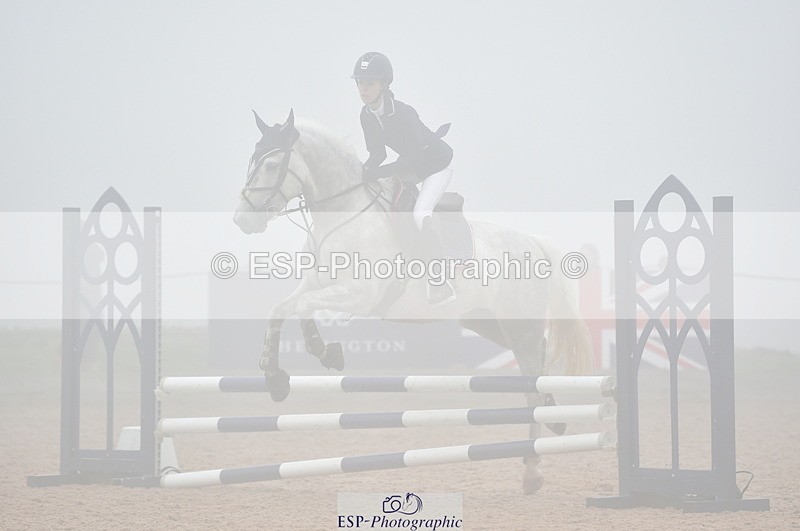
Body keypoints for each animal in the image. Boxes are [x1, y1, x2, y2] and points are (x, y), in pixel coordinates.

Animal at [233, 109, 593, 494]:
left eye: (272, 165)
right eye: (252, 161)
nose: (242, 220)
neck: (342, 211)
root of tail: (534, 241)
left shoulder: (359, 294)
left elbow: (303, 309)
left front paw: (326, 353)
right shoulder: (314, 284)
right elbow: (280, 310)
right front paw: (274, 377)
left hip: (519, 324)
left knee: (530, 388)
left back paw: (532, 471)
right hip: (486, 321)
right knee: (539, 361)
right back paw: (554, 421)